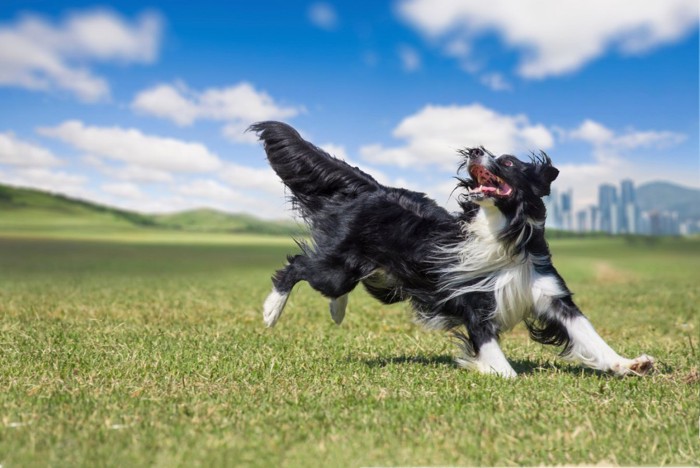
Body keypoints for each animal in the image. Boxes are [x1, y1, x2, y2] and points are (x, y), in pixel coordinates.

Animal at [253, 120, 656, 376]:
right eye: (489, 152)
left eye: (508, 161)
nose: (475, 149)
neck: (502, 235)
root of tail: (373, 189)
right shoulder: (475, 304)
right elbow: (503, 367)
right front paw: (486, 369)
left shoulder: (550, 293)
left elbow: (588, 333)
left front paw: (628, 364)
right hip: (337, 267)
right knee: (297, 265)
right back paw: (271, 312)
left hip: (375, 276)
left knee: (335, 285)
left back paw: (335, 311)